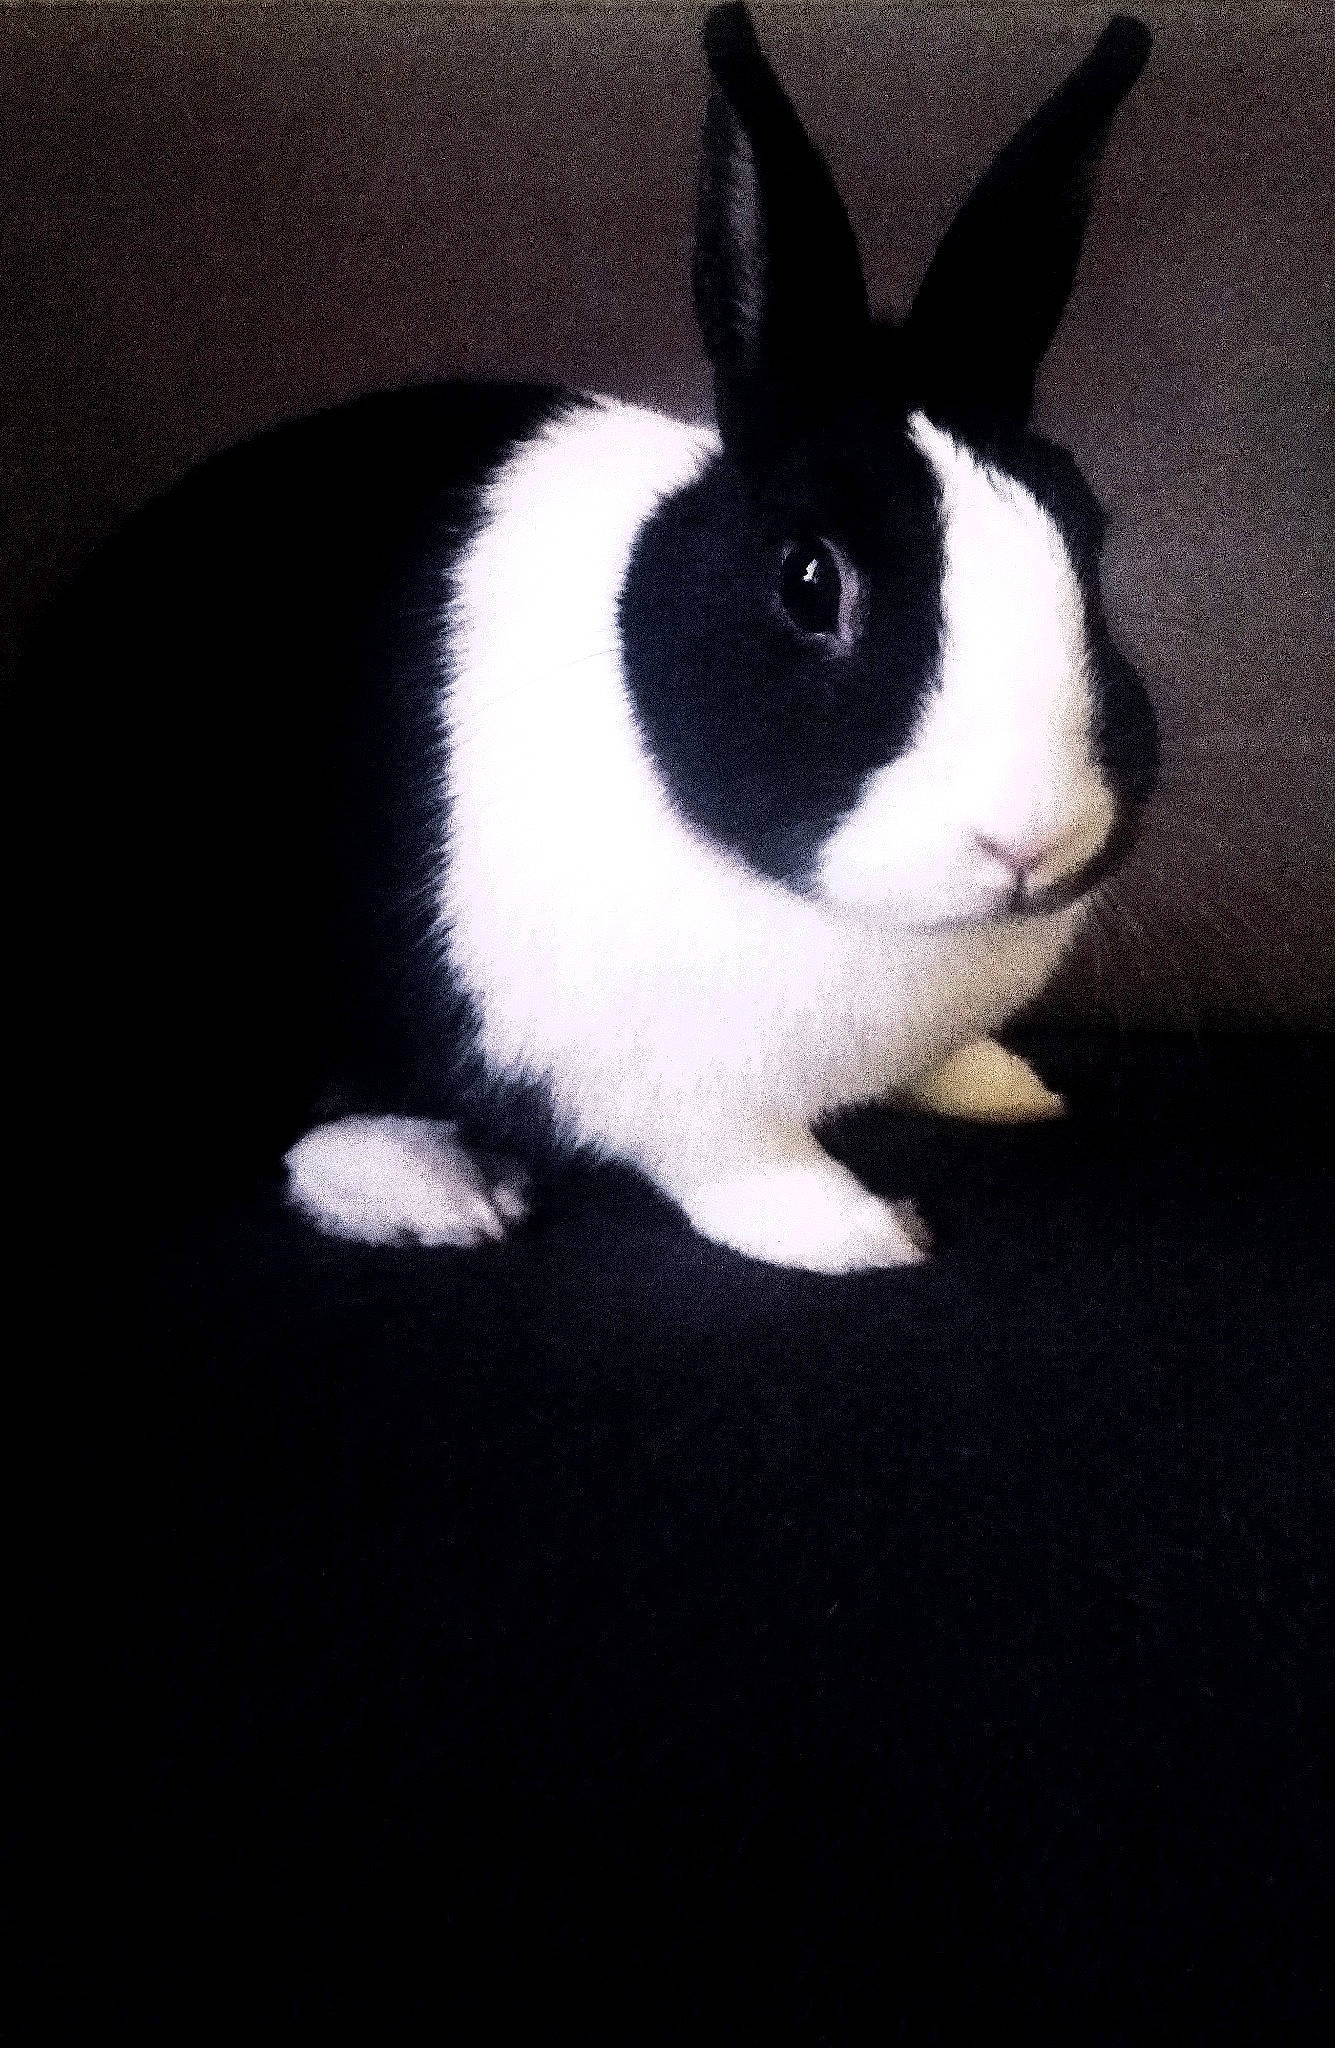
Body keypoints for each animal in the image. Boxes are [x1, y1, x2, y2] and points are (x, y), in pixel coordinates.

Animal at [30, 4, 1158, 1272]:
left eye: (1088, 535)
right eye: (809, 582)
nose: (1032, 841)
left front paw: (1002, 1083)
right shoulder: (686, 1099)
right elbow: (743, 1162)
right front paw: (862, 1231)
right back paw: (438, 1190)